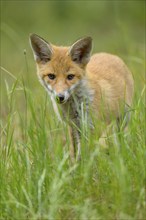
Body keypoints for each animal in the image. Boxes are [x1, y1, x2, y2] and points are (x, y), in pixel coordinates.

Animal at [29, 34, 134, 162]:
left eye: (70, 77)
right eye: (51, 76)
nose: (60, 97)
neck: (73, 108)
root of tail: (111, 55)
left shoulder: (91, 126)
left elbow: (86, 153)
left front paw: (87, 166)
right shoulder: (72, 126)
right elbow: (74, 152)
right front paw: (75, 166)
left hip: (123, 119)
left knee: (118, 138)